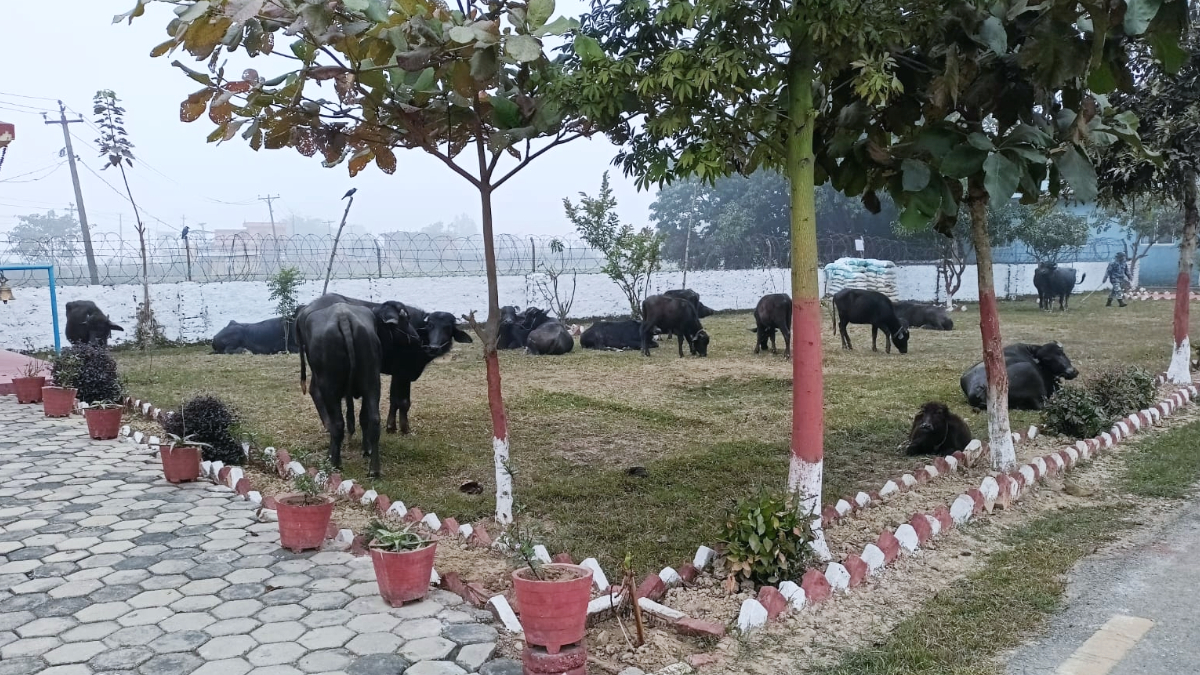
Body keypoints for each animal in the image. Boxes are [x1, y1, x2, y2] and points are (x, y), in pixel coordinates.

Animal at [294, 302, 384, 475]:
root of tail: (343, 317)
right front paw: (366, 449)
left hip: (329, 386)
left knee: (337, 424)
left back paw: (335, 463)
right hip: (372, 381)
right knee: (374, 420)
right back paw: (373, 469)